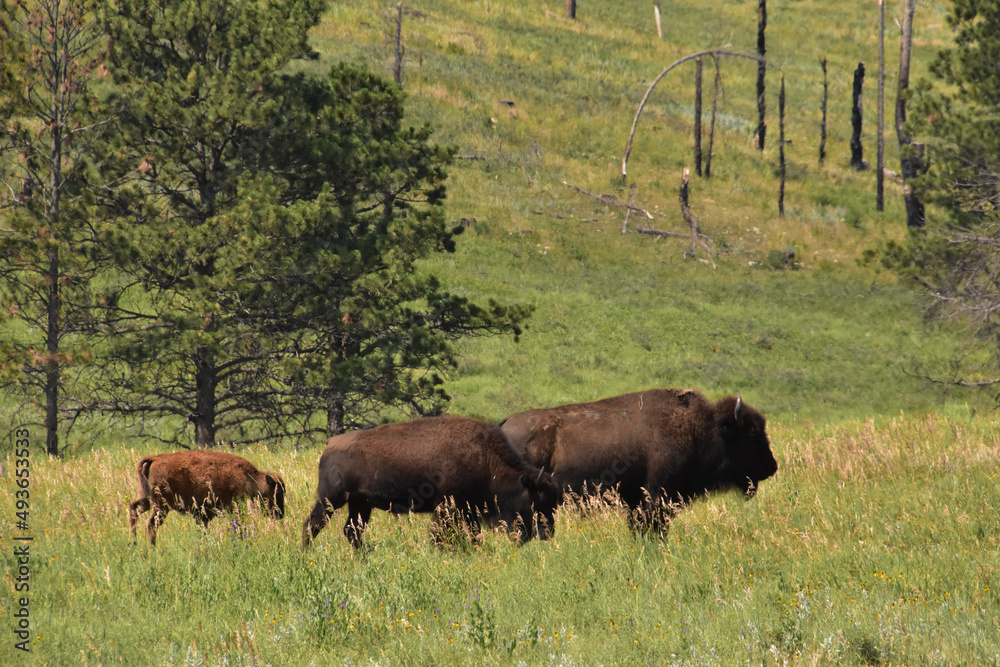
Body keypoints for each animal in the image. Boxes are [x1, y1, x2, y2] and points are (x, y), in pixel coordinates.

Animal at [127, 448, 286, 548]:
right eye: (276, 493)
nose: (280, 514)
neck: (249, 479)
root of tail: (155, 458)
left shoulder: (204, 515)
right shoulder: (233, 508)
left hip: (148, 499)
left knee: (134, 509)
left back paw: (134, 543)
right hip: (162, 506)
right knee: (150, 523)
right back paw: (152, 548)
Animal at [296, 414, 564, 552]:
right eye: (537, 498)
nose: (546, 533)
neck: (486, 458)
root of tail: (330, 443)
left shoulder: (466, 511)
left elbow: (472, 535)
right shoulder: (448, 507)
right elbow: (442, 535)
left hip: (360, 504)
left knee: (352, 530)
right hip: (332, 499)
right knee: (313, 524)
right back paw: (306, 555)